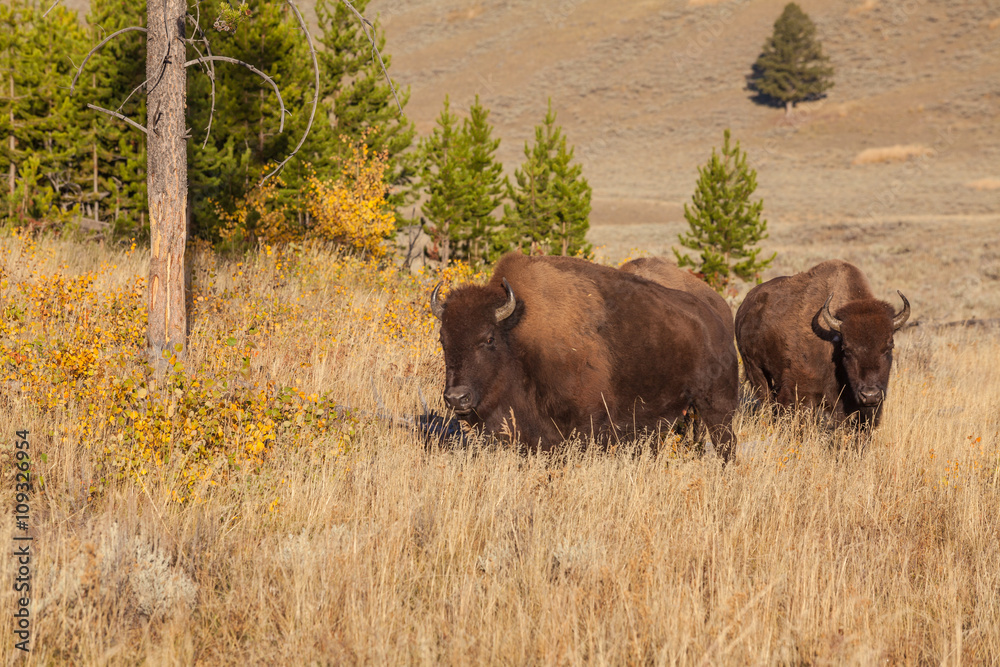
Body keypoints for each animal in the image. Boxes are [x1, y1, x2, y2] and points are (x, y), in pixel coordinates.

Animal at [426, 250, 740, 460]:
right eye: (443, 339)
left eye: (488, 338)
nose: (456, 398)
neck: (518, 335)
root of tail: (716, 316)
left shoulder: (585, 426)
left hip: (717, 405)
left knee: (726, 444)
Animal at [732, 260, 912, 428]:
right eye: (847, 349)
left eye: (889, 347)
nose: (870, 395)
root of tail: (745, 305)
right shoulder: (802, 392)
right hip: (755, 370)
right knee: (766, 399)